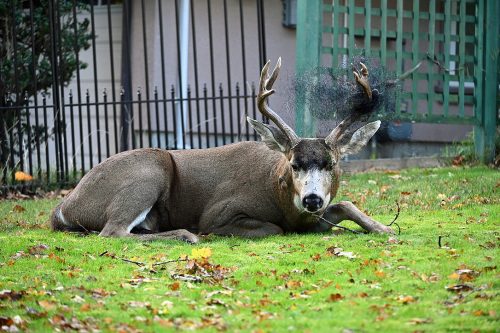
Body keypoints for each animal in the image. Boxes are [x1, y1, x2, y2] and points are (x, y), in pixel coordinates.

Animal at [51, 58, 394, 243]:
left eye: (332, 163)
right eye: (294, 164)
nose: (312, 199)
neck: (276, 192)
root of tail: (64, 206)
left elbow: (345, 203)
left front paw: (385, 229)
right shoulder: (219, 213)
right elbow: (274, 229)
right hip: (148, 172)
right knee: (113, 231)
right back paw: (185, 235)